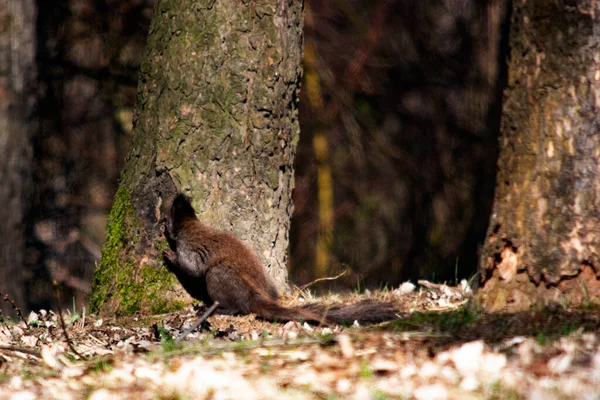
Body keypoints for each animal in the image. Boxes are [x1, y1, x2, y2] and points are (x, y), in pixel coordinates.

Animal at [164, 194, 398, 324]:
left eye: (167, 219)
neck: (190, 226)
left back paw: (214, 309)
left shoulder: (189, 247)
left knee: (237, 308)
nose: (162, 223)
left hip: (219, 277)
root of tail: (252, 298)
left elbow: (192, 268)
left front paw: (170, 255)